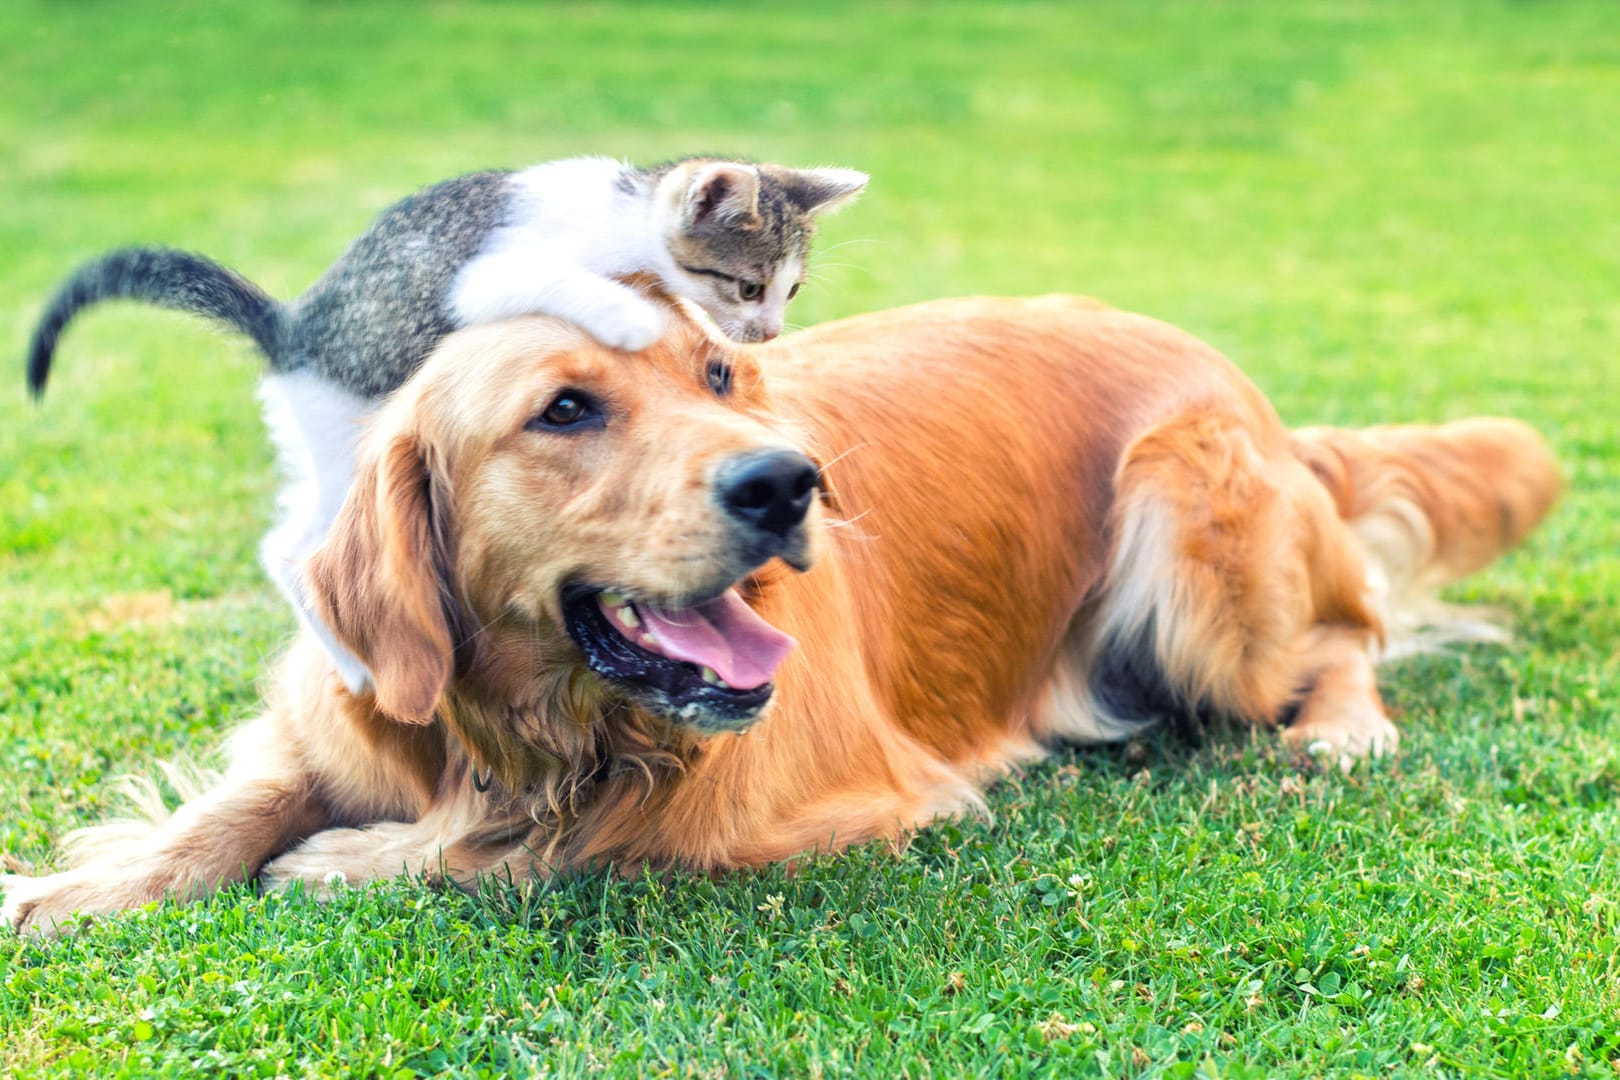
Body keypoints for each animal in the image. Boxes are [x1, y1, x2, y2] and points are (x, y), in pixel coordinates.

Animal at [3, 291, 1568, 932]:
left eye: (718, 377)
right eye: (563, 410)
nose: (785, 482)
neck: (535, 727)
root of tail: (1246, 385)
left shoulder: (823, 799)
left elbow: (559, 849)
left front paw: (349, 863)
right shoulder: (340, 711)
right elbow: (230, 809)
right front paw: (68, 888)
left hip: (1197, 557)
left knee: (1348, 633)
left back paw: (1343, 730)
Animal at [25, 153, 868, 693]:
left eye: (790, 291)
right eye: (750, 285)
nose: (769, 332)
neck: (623, 215)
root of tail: (292, 326)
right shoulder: (486, 275)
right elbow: (561, 285)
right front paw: (624, 315)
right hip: (346, 431)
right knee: (298, 551)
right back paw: (354, 662)